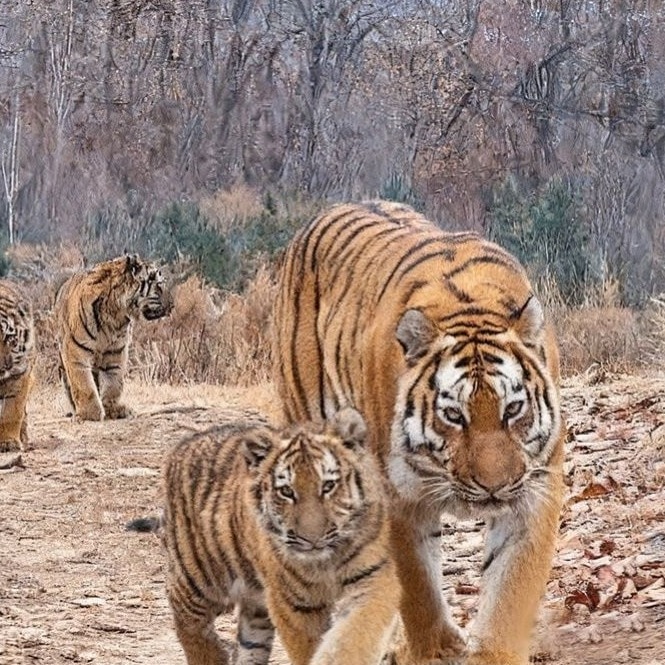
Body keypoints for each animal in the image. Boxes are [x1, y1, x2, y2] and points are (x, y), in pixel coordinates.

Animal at [53, 254, 172, 421]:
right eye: (159, 285)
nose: (173, 305)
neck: (116, 315)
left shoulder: (116, 351)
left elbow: (114, 382)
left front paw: (113, 409)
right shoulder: (75, 350)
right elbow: (83, 383)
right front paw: (90, 413)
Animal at [130, 407, 399, 665]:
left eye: (328, 486)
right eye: (286, 491)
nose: (312, 539)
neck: (326, 562)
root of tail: (182, 445)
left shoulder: (373, 578)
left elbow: (354, 635)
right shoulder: (293, 603)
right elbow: (309, 647)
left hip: (255, 606)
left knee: (248, 644)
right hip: (198, 577)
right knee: (186, 619)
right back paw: (211, 655)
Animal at [272, 200, 565, 665]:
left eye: (513, 409)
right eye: (453, 415)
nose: (494, 487)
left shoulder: (534, 490)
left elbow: (511, 589)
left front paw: (493, 651)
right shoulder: (398, 498)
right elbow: (418, 587)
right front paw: (436, 649)